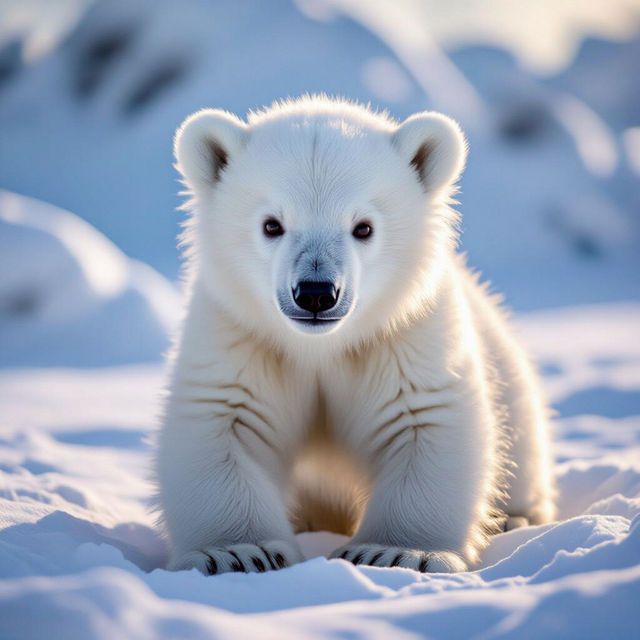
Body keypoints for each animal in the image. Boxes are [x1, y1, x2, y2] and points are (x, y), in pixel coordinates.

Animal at [155, 96, 556, 575]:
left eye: (363, 227)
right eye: (272, 224)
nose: (316, 293)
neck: (320, 347)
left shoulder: (404, 336)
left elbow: (426, 421)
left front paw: (396, 552)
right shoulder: (240, 335)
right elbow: (221, 422)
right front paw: (237, 552)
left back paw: (513, 518)